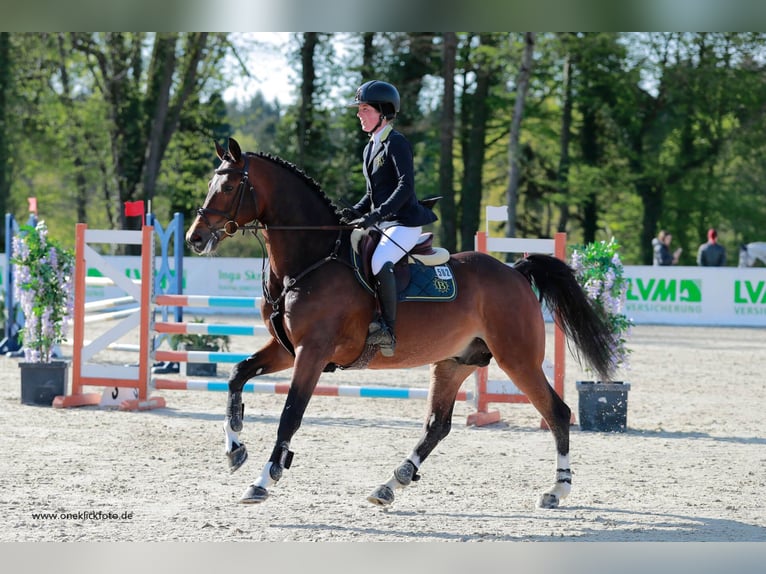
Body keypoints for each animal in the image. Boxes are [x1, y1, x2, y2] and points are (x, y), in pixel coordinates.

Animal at [189, 137, 620, 510]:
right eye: (211, 183)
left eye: (229, 186)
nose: (195, 239)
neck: (310, 259)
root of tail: (515, 271)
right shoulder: (287, 348)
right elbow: (237, 375)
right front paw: (235, 449)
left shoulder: (312, 352)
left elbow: (290, 414)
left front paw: (263, 480)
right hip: (454, 363)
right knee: (437, 426)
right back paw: (391, 483)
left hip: (518, 359)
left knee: (556, 412)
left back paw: (557, 490)